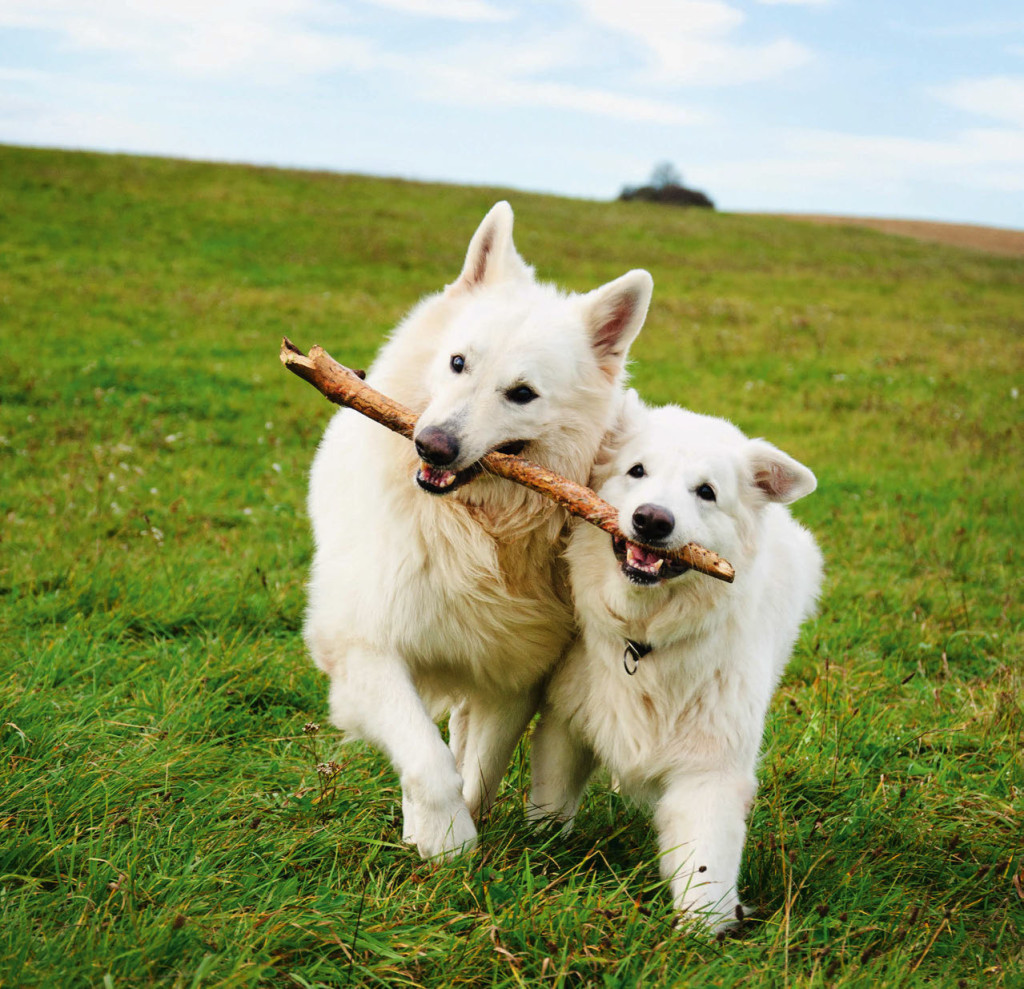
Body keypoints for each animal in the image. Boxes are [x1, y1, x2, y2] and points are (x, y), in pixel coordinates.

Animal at [305, 201, 655, 860]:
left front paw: (454, 833)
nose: (431, 445)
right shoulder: (365, 647)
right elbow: (426, 757)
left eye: (522, 394)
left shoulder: (512, 674)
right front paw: (444, 839)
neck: (476, 528)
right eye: (457, 363)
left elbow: (480, 768)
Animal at [528, 393, 823, 929]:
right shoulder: (566, 724)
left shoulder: (710, 770)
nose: (652, 520)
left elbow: (705, 863)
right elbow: (551, 803)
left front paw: (703, 932)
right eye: (637, 471)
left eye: (706, 492)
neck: (643, 639)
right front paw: (537, 849)